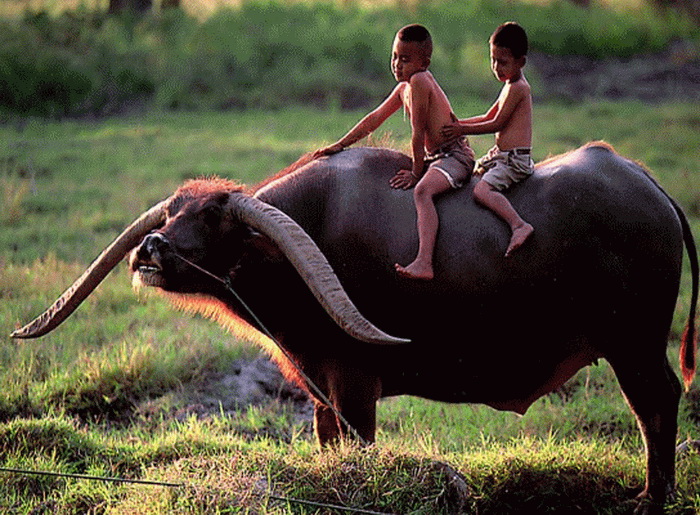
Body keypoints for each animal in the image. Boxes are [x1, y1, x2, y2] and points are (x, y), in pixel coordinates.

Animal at [10, 142, 696, 512]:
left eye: (212, 219)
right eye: (173, 212)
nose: (148, 249)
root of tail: (650, 188)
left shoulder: (356, 384)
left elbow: (360, 453)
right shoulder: (322, 391)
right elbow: (329, 449)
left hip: (634, 345)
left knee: (657, 406)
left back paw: (649, 499)